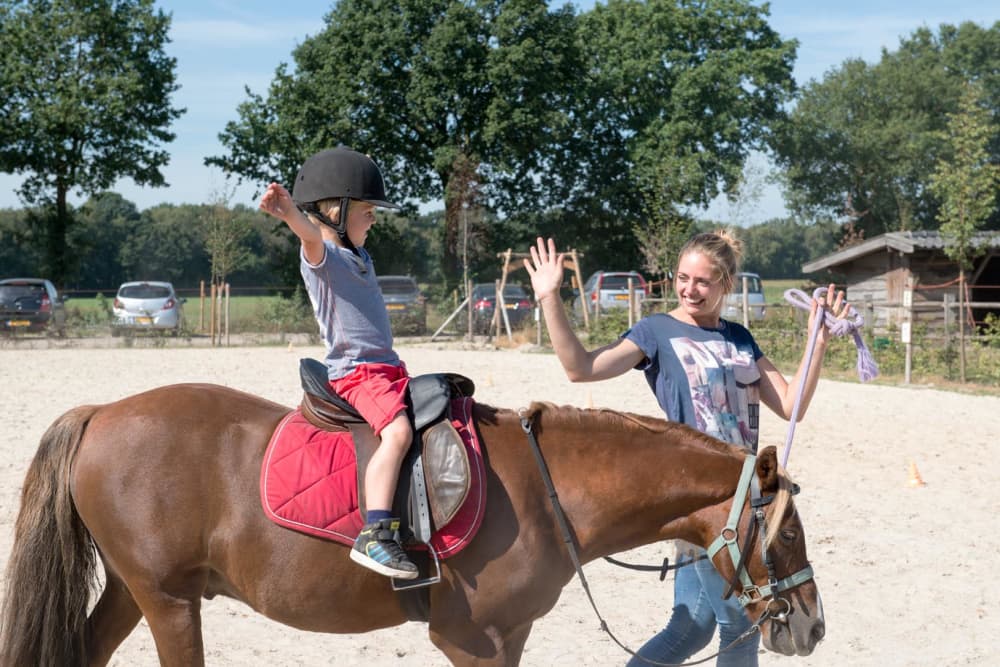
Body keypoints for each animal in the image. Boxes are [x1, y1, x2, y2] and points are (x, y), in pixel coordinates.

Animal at [0, 384, 824, 664]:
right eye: (787, 534)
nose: (812, 627)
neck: (547, 488)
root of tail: (103, 412)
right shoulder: (471, 640)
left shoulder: (507, 640)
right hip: (167, 599)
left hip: (133, 590)